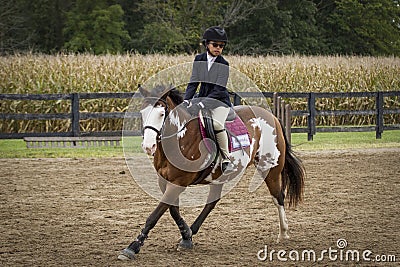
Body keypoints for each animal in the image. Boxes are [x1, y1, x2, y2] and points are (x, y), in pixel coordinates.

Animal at [117, 86, 304, 262]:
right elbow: (173, 210)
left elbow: (155, 215)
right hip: (220, 176)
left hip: (270, 168)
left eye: (161, 113)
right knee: (212, 202)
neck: (180, 138)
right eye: (143, 113)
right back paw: (192, 231)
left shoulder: (179, 183)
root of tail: (272, 116)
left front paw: (132, 247)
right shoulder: (164, 181)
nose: (148, 147)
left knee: (278, 196)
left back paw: (283, 233)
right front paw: (186, 236)